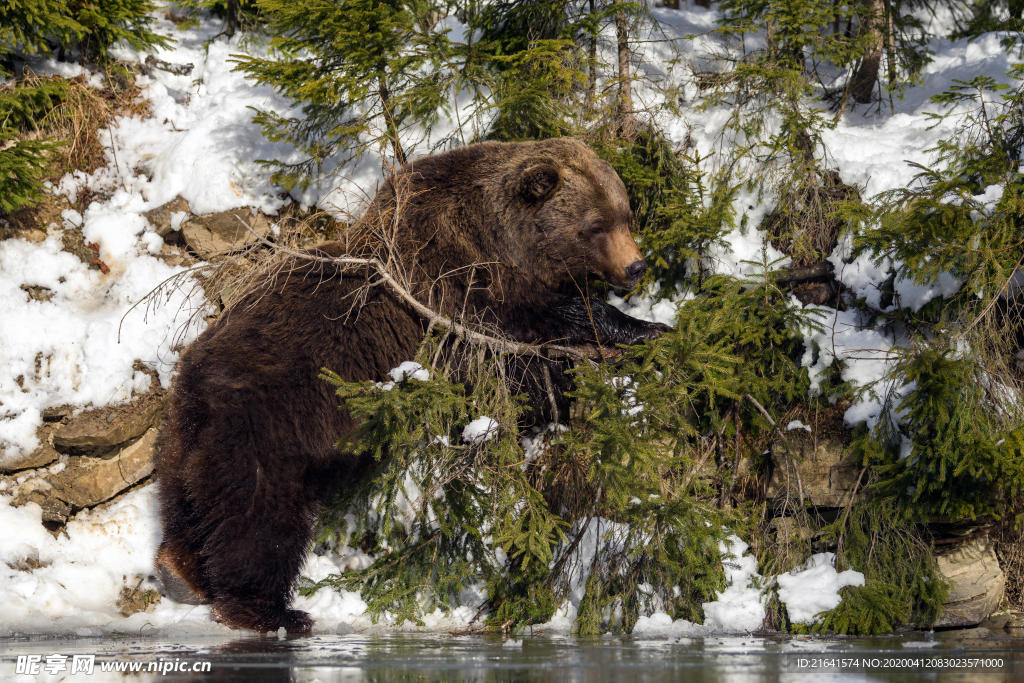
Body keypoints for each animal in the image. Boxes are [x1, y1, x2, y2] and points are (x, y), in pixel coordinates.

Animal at [149, 136, 663, 634]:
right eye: (595, 226)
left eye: (625, 213)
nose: (636, 266)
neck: (498, 239)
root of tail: (195, 388)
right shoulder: (456, 296)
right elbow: (529, 355)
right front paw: (638, 333)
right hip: (269, 427)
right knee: (258, 519)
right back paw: (272, 612)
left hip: (180, 439)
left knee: (187, 503)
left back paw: (179, 572)